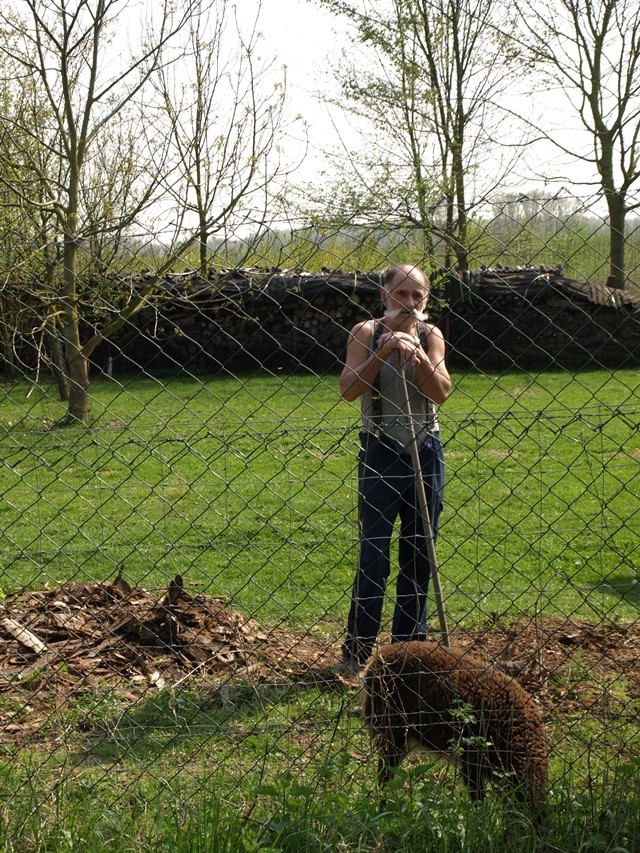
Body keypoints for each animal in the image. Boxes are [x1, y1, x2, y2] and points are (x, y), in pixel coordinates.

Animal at [362, 640, 548, 812]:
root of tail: (377, 660)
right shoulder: (472, 761)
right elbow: (478, 797)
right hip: (393, 730)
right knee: (384, 774)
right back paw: (385, 809)